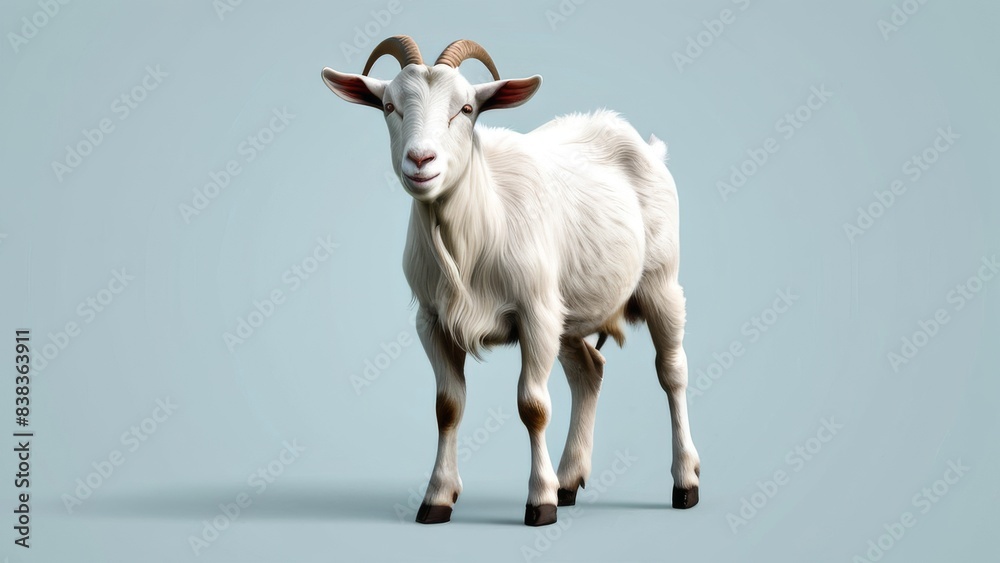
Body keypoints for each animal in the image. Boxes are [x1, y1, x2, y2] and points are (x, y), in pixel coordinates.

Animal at [322, 36, 701, 526]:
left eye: (466, 108)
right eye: (389, 106)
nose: (421, 160)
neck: (476, 231)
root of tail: (647, 146)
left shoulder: (535, 314)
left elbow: (533, 406)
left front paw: (539, 502)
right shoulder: (432, 320)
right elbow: (447, 407)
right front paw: (437, 498)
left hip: (660, 282)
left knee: (672, 372)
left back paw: (685, 482)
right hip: (568, 310)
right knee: (589, 372)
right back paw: (570, 480)